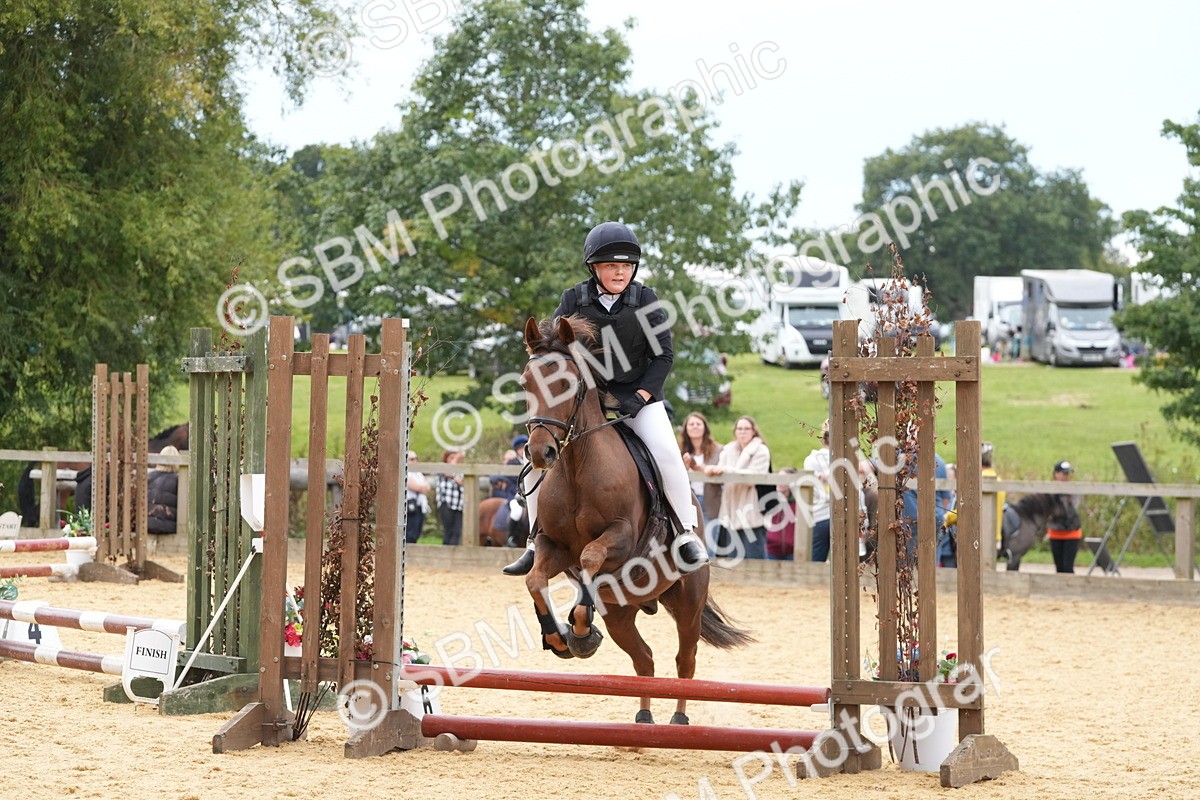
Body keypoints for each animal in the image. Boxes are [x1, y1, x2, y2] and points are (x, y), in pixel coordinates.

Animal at [520, 315, 752, 725]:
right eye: (525, 383)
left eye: (565, 383)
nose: (540, 453)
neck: (577, 468)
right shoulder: (554, 546)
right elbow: (535, 579)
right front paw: (559, 637)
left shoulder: (622, 538)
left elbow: (590, 557)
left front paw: (580, 629)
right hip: (620, 613)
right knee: (644, 661)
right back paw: (643, 715)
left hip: (688, 602)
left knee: (685, 659)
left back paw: (678, 719)